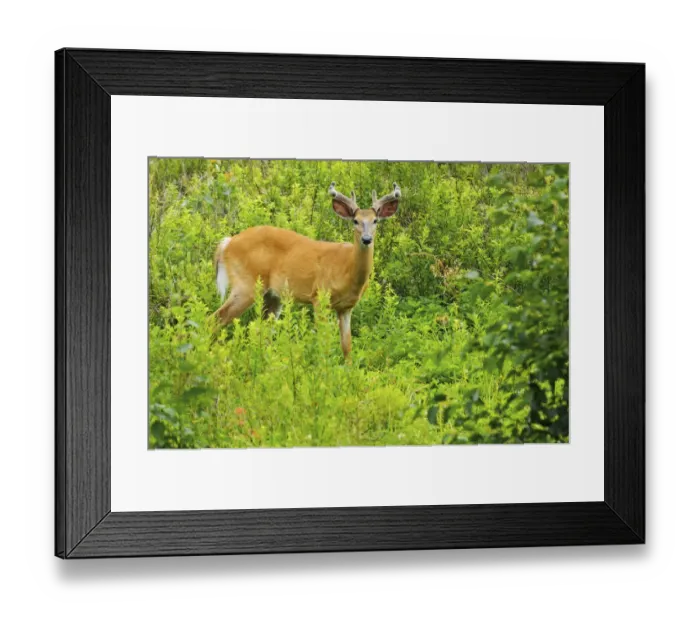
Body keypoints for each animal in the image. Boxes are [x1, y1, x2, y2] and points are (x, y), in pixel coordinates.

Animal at [212, 182, 401, 359]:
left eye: (375, 221)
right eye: (355, 221)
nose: (366, 239)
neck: (347, 268)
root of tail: (227, 243)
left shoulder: (347, 307)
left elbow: (347, 346)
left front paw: (349, 370)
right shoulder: (319, 296)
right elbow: (323, 342)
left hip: (272, 296)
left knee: (262, 330)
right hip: (246, 285)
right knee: (216, 318)